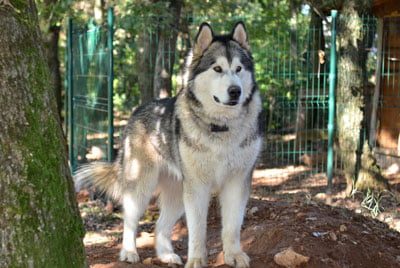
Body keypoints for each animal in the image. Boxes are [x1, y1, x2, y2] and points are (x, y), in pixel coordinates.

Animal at [76, 21, 262, 268]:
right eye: (217, 69)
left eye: (239, 68)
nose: (235, 91)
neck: (222, 127)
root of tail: (136, 112)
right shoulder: (197, 187)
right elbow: (197, 230)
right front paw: (196, 260)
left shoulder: (237, 182)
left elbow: (232, 226)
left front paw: (234, 255)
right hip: (141, 187)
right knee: (129, 220)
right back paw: (129, 252)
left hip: (177, 193)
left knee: (159, 226)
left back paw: (166, 255)